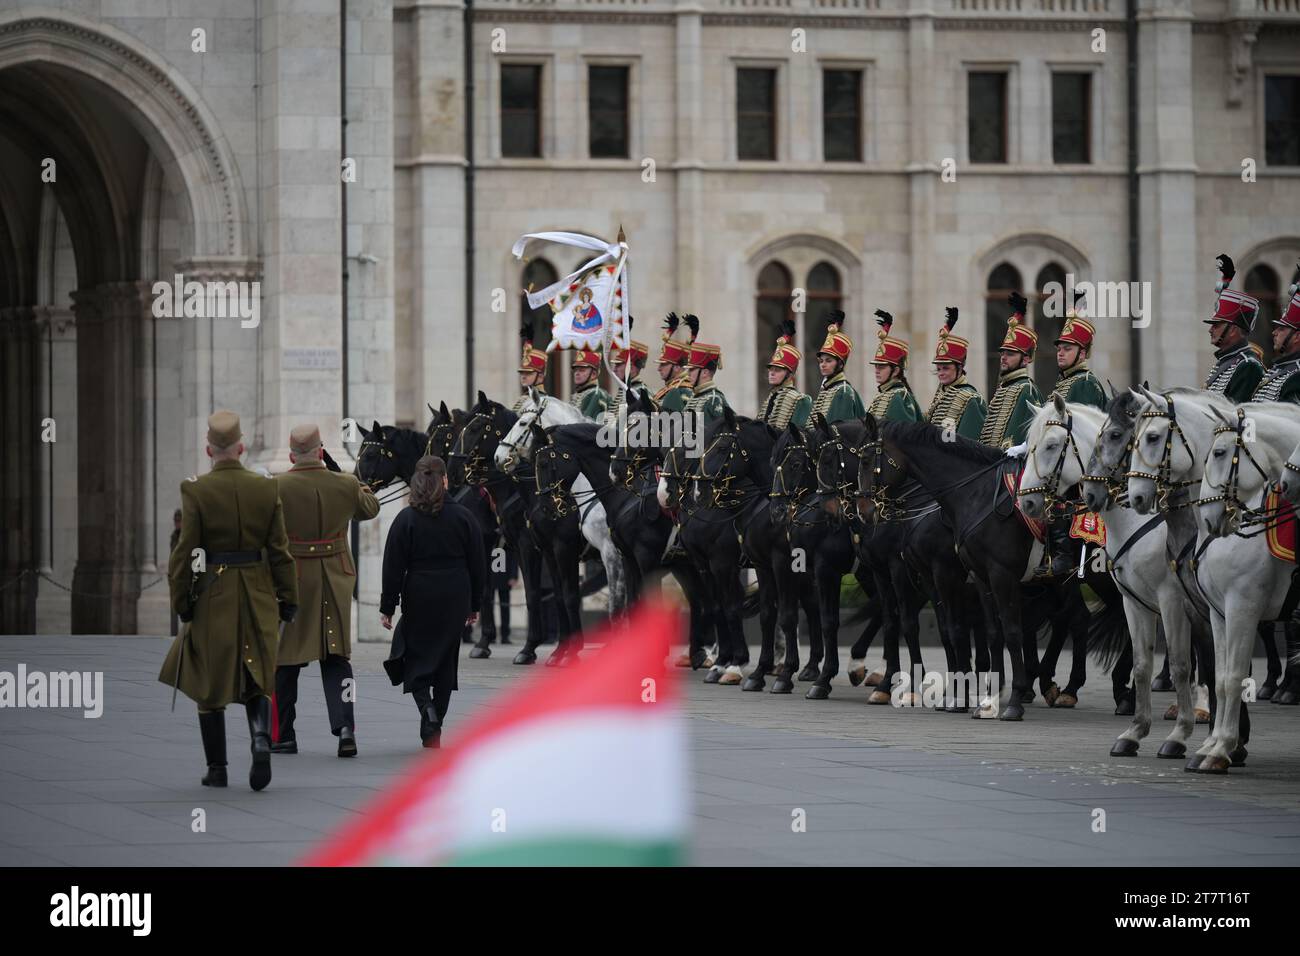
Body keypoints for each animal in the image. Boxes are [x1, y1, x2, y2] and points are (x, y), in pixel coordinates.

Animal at [1190, 400, 1300, 775]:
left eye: (1220, 452)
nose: (1209, 517)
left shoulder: (1243, 609)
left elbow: (1236, 675)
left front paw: (1222, 748)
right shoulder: (1219, 613)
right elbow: (1223, 677)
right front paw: (1212, 745)